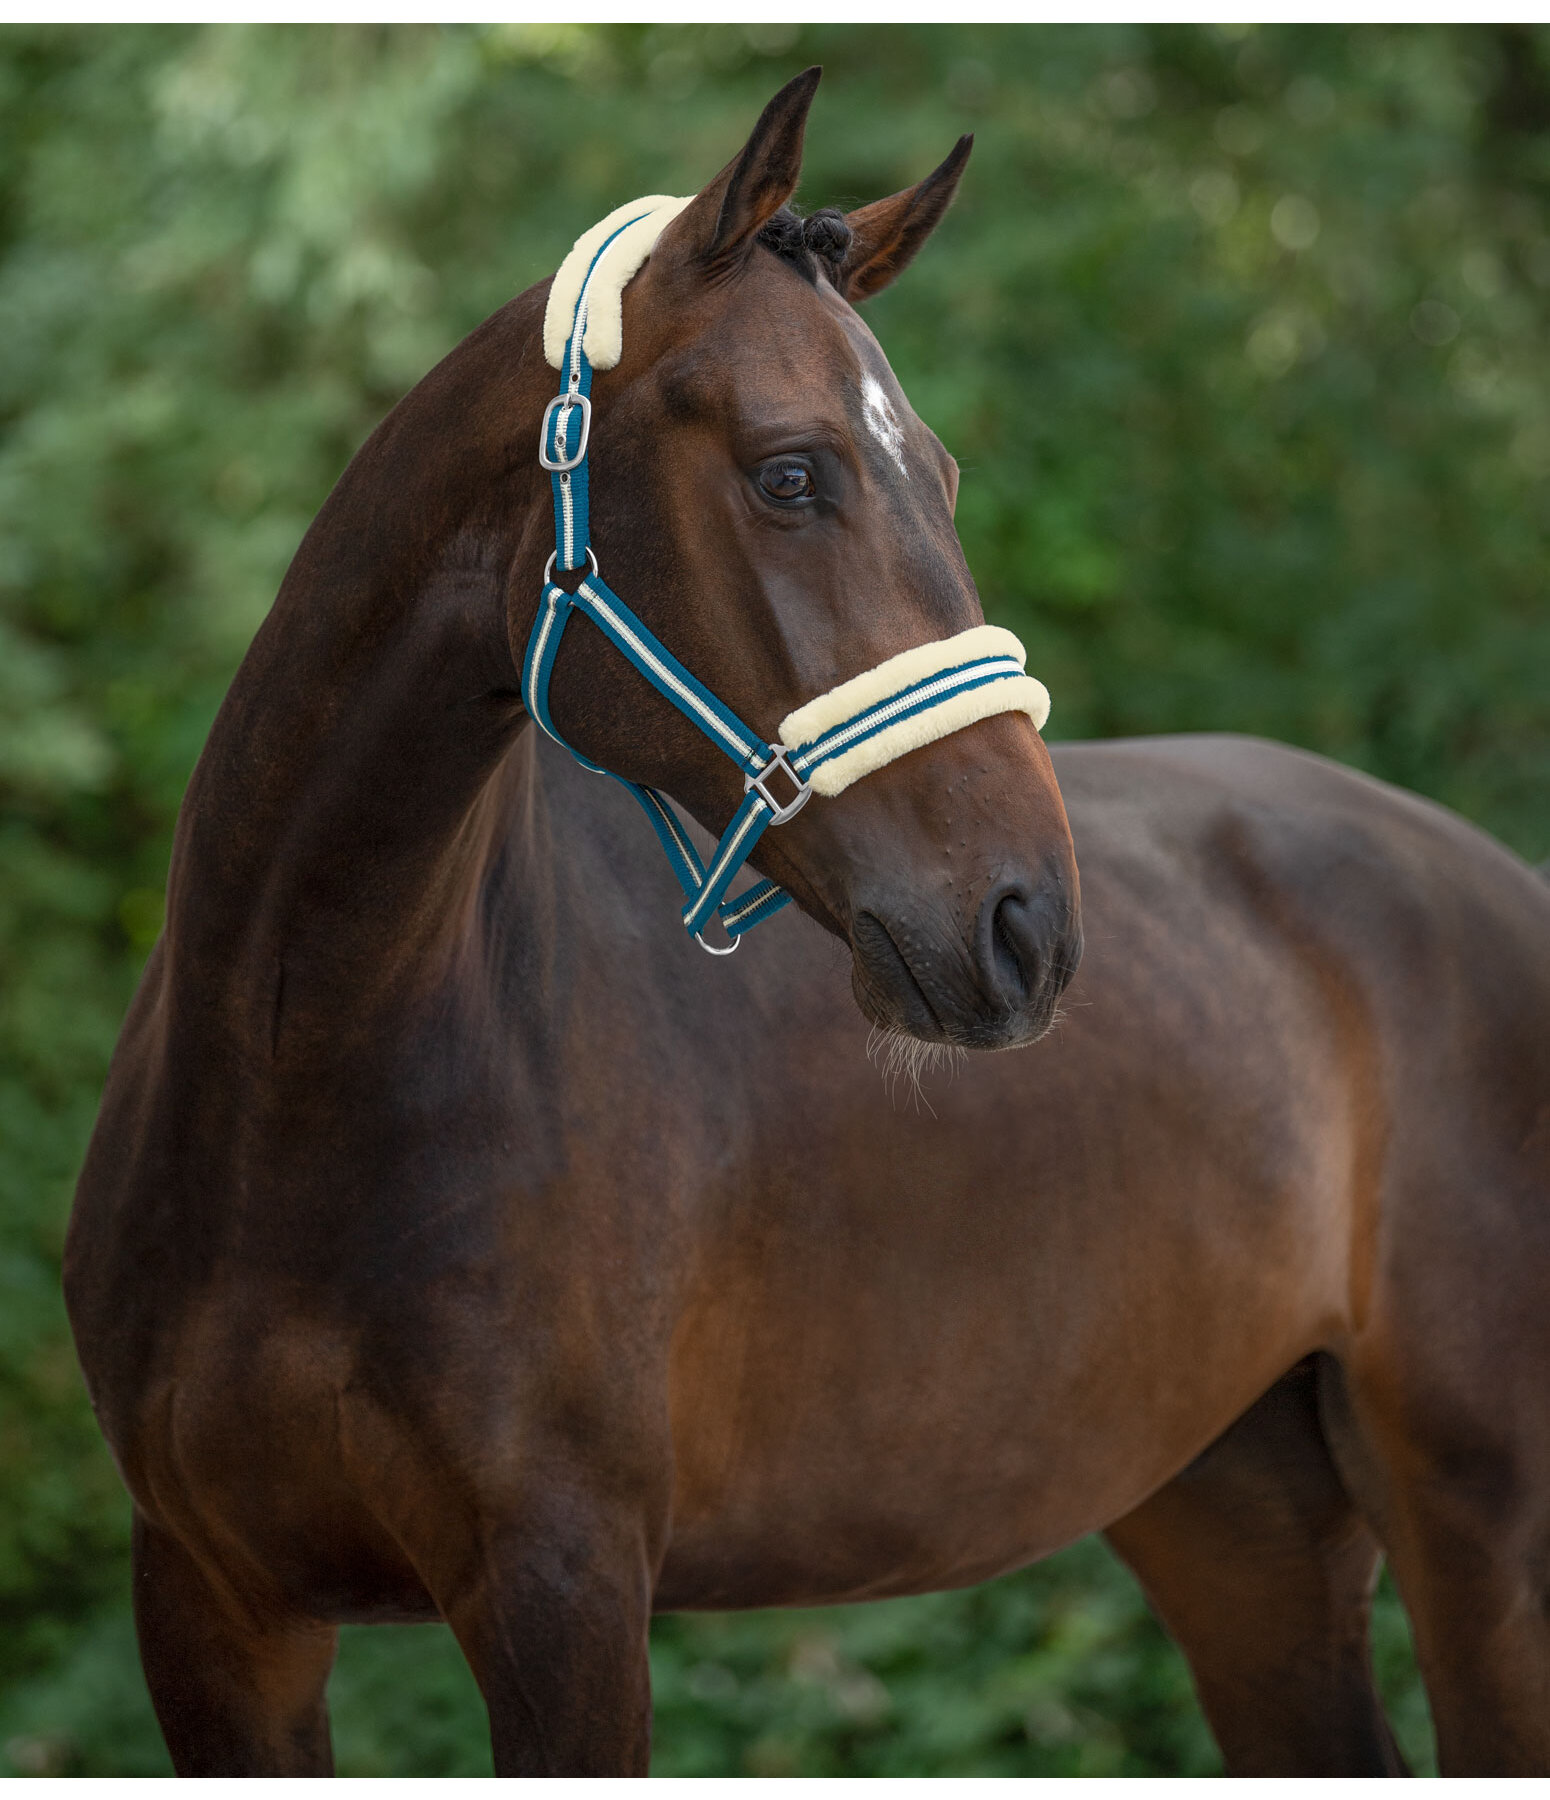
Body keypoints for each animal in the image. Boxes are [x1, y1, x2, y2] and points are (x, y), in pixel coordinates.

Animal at [66, 66, 1548, 1771]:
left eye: (944, 479)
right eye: (790, 472)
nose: (1023, 929)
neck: (299, 1067)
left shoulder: (565, 1597)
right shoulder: (210, 1609)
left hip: (1482, 1531)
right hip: (1233, 1513)